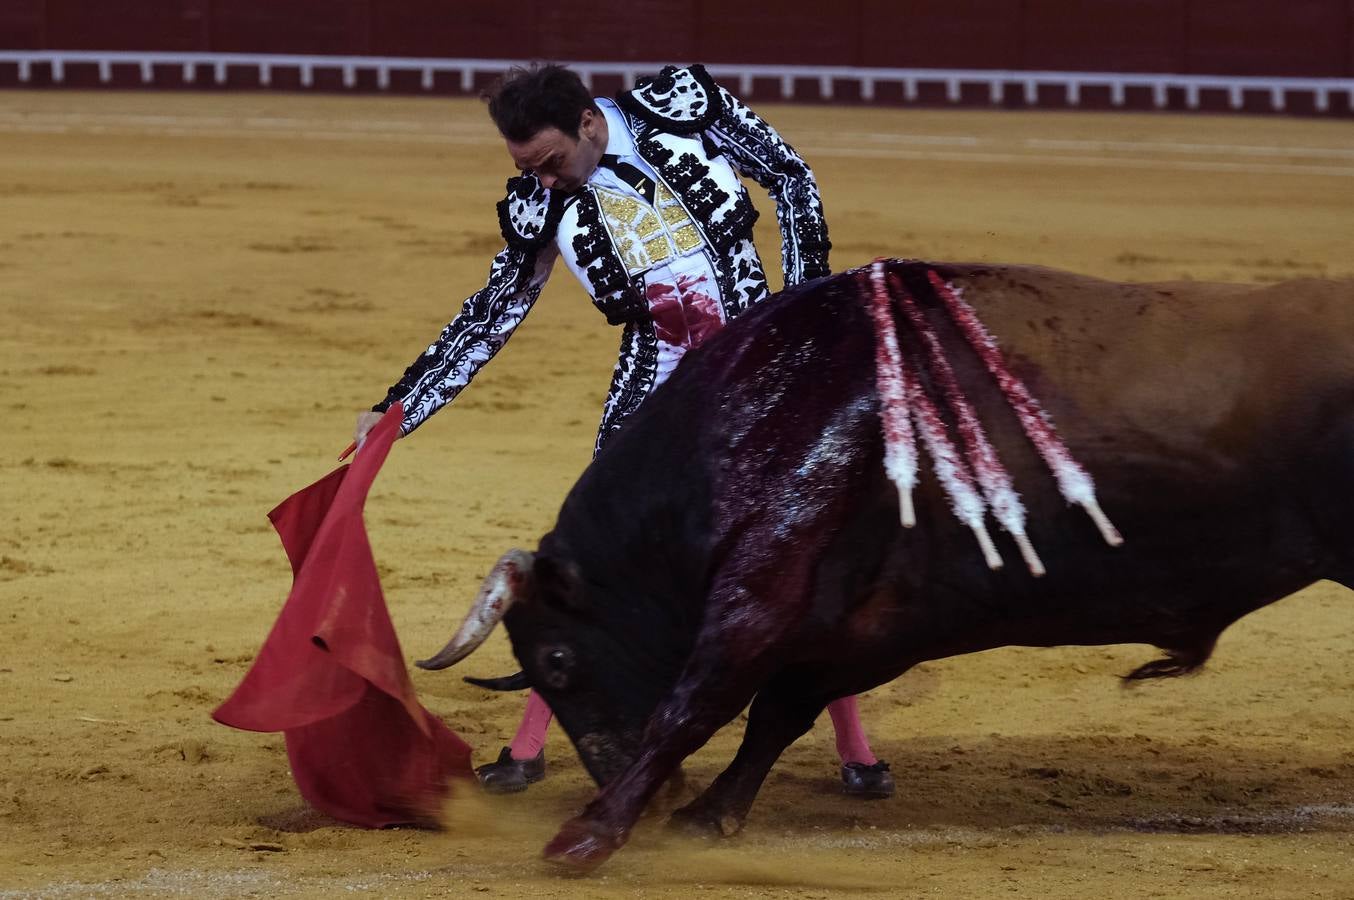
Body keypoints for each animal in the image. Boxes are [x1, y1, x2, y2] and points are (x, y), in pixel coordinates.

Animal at [417, 259, 1354, 871]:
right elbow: (777, 714)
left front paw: (586, 836)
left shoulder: (761, 595)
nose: (611, 779)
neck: (762, 418)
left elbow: (693, 707)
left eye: (557, 661)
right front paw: (703, 817)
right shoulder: (869, 626)